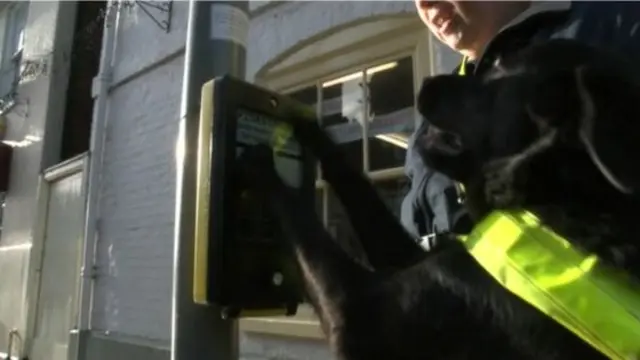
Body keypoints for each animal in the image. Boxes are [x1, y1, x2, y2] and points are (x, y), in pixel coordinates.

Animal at [238, 38, 640, 358]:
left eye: (500, 71)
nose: (428, 82)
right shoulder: (412, 254)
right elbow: (350, 177)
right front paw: (309, 125)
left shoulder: (355, 312)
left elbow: (302, 218)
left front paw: (263, 165)